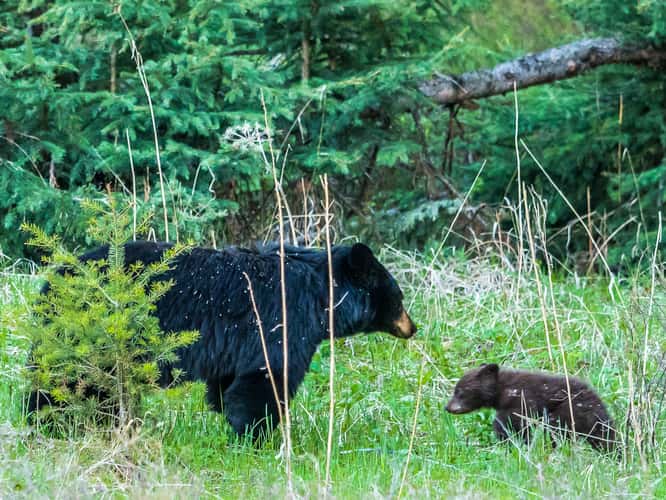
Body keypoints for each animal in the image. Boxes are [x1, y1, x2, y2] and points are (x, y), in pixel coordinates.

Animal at [29, 240, 416, 440]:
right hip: (91, 334)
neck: (320, 294)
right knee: (65, 382)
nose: (412, 327)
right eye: (399, 298)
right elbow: (267, 377)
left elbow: (228, 384)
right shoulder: (282, 320)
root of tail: (52, 281)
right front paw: (257, 437)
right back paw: (49, 422)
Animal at [445, 363, 616, 452]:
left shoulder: (521, 401)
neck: (503, 390)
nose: (447, 407)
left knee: (557, 430)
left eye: (459, 392)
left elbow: (510, 424)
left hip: (569, 411)